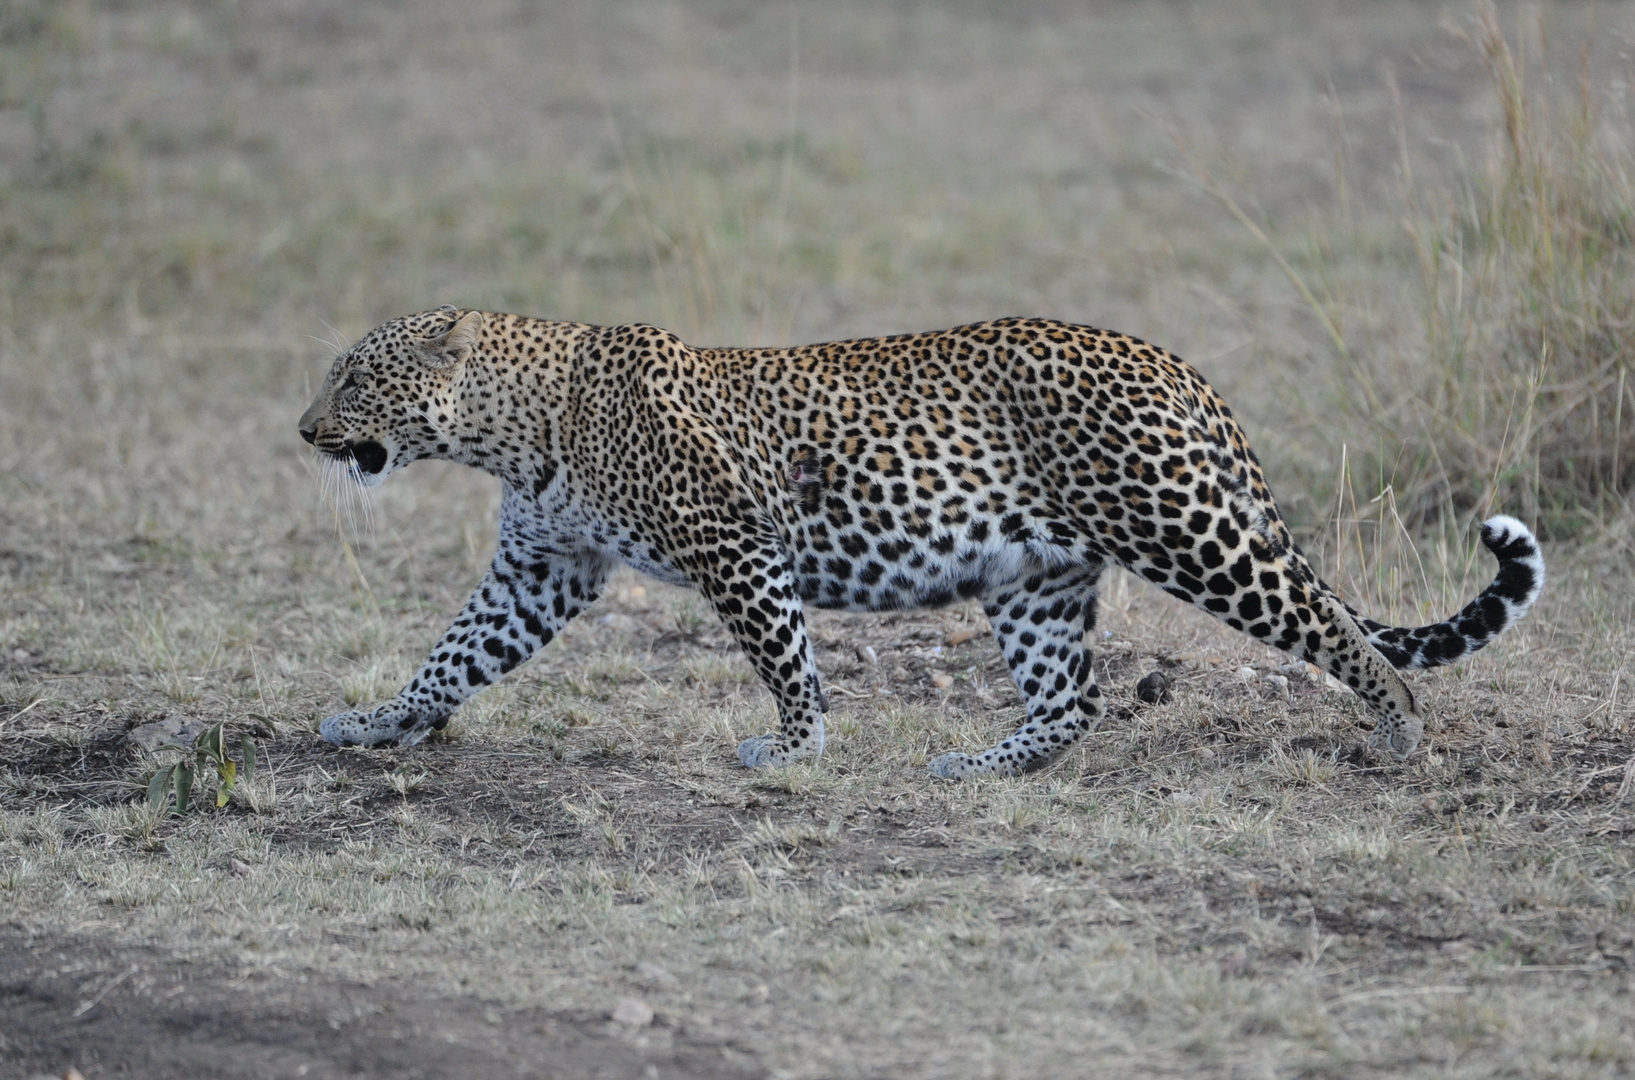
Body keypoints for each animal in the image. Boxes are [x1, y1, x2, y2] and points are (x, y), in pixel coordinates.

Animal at [297, 305, 1543, 774]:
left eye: (353, 377)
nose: (305, 430)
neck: (518, 430)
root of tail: (1174, 362)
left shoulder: (736, 546)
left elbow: (784, 657)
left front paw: (795, 749)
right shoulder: (542, 570)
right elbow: (454, 654)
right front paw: (378, 721)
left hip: (1185, 526)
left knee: (1333, 624)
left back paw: (1400, 731)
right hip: (1036, 577)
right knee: (1073, 698)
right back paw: (981, 767)